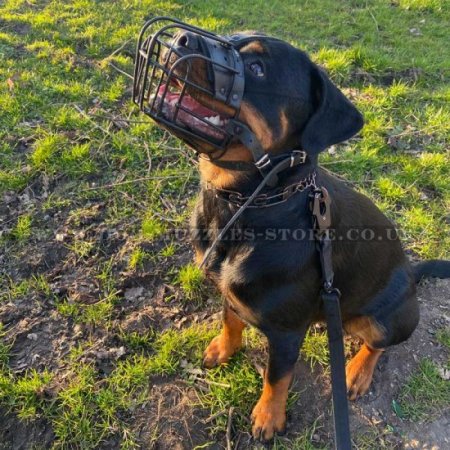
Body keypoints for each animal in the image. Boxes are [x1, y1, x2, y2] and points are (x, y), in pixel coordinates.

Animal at [149, 30, 448, 440]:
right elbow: (229, 319)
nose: (180, 38)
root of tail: (412, 273)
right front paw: (223, 350)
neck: (246, 204)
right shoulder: (229, 291)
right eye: (230, 36)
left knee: (378, 344)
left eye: (257, 68)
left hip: (384, 319)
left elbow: (277, 378)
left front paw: (267, 418)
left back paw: (356, 373)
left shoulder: (287, 333)